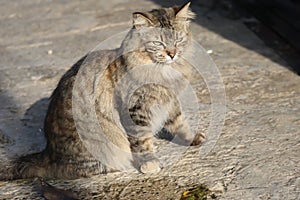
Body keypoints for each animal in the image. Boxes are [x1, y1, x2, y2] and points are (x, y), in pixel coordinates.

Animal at [9, 1, 206, 180]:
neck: (164, 71)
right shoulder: (137, 110)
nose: (172, 54)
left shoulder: (170, 101)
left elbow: (180, 123)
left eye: (178, 40)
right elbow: (142, 141)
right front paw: (150, 163)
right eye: (158, 43)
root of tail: (48, 152)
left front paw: (192, 138)